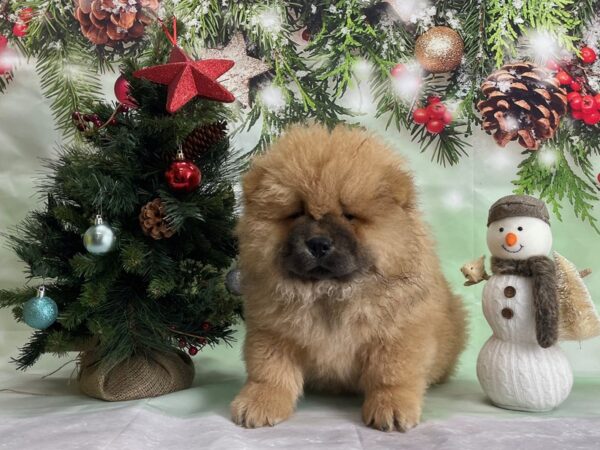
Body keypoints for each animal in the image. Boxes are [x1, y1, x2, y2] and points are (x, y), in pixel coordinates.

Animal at [231, 124, 468, 432]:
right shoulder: (272, 332)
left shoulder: (398, 332)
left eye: (350, 215)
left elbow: (392, 373)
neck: (330, 294)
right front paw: (260, 402)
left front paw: (391, 407)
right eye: (296, 213)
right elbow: (268, 370)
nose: (318, 243)